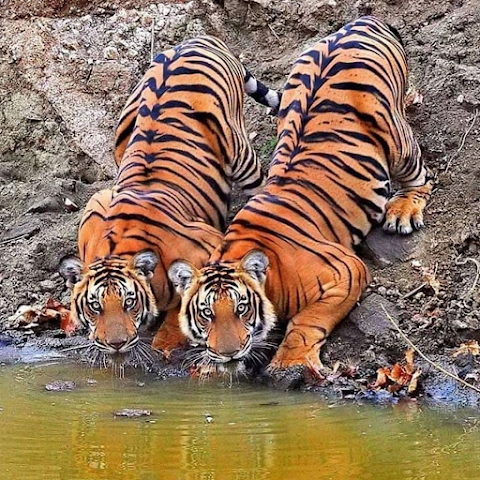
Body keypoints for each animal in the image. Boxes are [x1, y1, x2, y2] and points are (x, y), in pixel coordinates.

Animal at [59, 34, 282, 364]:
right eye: (95, 306)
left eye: (128, 302)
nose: (116, 344)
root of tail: (196, 39)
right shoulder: (96, 202)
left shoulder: (209, 245)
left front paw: (168, 339)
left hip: (241, 155)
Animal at [167, 16, 434, 376]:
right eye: (207, 314)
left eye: (241, 309)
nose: (228, 353)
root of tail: (363, 21)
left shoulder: (347, 271)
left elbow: (308, 321)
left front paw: (288, 363)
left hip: (396, 137)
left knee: (419, 175)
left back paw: (403, 210)